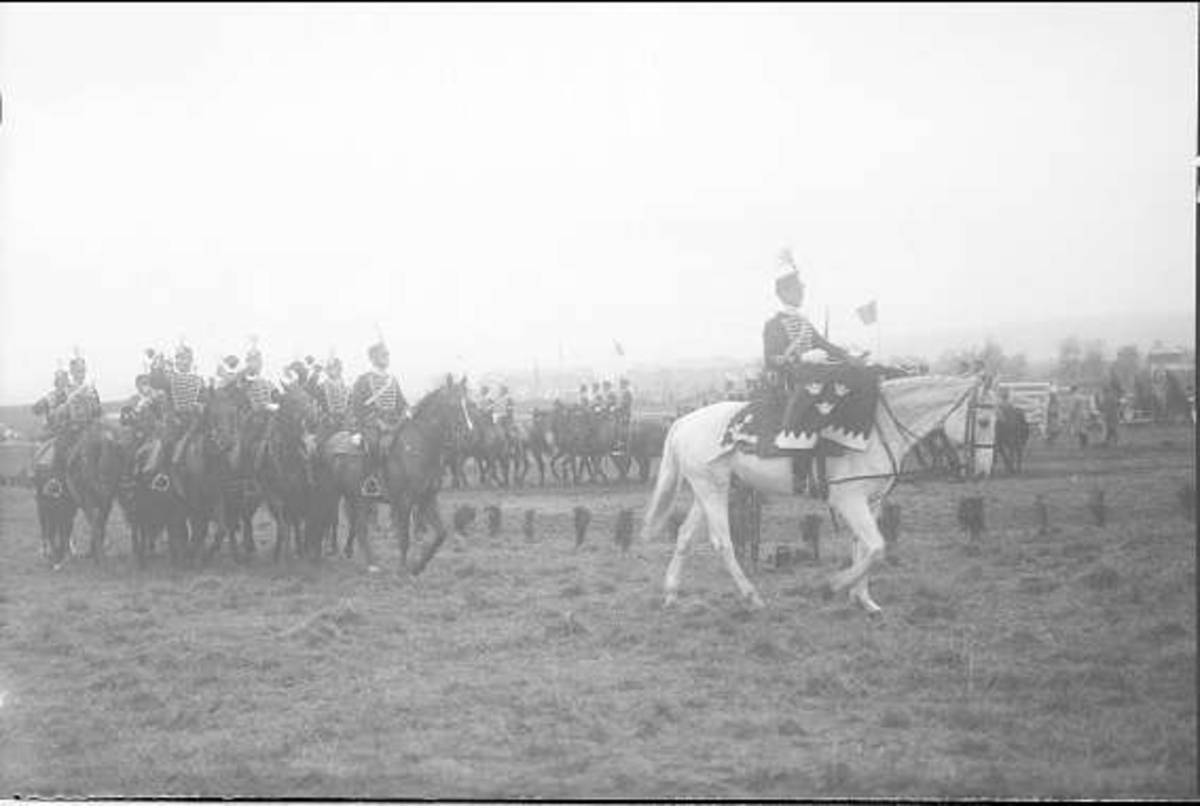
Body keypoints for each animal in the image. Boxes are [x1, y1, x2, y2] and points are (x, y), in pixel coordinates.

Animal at [643, 374, 998, 614]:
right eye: (982, 420)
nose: (982, 471)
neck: (877, 429)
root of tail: (683, 421)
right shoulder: (849, 500)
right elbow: (876, 547)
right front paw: (833, 587)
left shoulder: (872, 501)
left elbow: (864, 547)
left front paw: (863, 599)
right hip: (712, 489)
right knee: (722, 542)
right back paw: (751, 596)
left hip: (708, 489)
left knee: (685, 535)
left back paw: (671, 593)